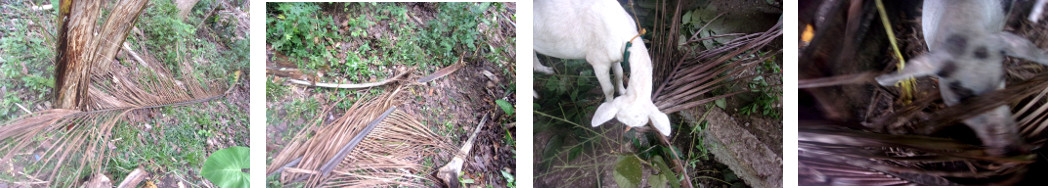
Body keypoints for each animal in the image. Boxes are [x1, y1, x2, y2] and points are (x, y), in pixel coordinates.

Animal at [532, 0, 670, 135]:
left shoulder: (615, 56)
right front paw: (609, 102)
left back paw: (544, 70)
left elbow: (619, 74)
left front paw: (622, 90)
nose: (626, 130)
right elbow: (609, 89)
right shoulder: (598, 61)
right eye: (619, 119)